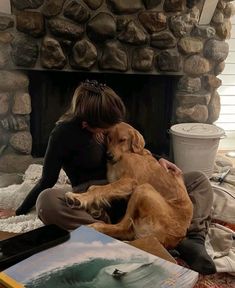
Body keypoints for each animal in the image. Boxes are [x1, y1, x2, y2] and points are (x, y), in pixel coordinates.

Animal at [65, 122, 193, 249]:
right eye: (109, 138)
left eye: (122, 140)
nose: (108, 156)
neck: (127, 153)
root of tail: (174, 238)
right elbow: (96, 188)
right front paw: (93, 206)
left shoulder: (130, 181)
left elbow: (99, 189)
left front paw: (78, 198)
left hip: (143, 188)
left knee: (122, 227)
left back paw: (96, 226)